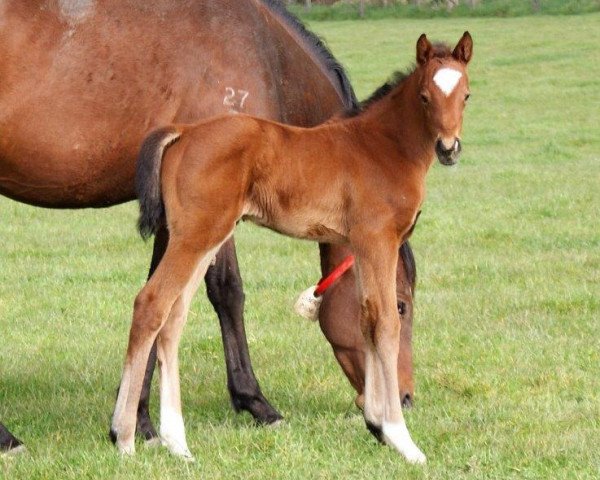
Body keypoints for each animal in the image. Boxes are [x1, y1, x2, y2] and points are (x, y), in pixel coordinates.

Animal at [0, 0, 418, 452]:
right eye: (401, 305)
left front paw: (139, 421)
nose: (406, 398)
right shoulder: (217, 210)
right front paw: (257, 404)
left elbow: (160, 301)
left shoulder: (177, 220)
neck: (267, 54)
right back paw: (8, 438)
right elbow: (226, 292)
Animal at [110, 31, 472, 464]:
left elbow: (365, 319)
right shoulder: (377, 239)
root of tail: (182, 131)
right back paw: (126, 438)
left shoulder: (360, 244)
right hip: (196, 236)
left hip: (203, 237)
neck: (383, 145)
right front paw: (401, 438)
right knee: (151, 305)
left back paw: (177, 443)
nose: (449, 147)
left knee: (174, 317)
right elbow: (383, 323)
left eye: (466, 95)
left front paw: (376, 425)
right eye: (424, 96)